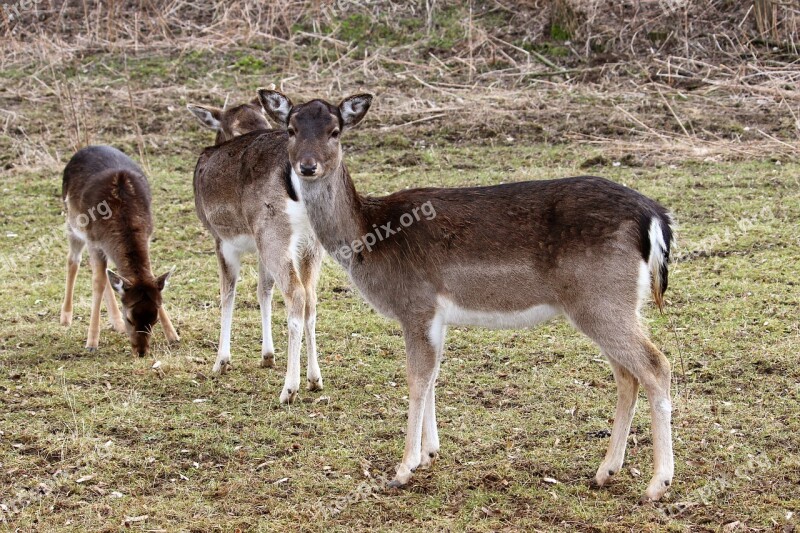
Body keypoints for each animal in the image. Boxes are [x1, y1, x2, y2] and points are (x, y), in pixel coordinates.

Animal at [61, 143, 180, 356]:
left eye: (154, 320)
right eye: (130, 318)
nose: (141, 352)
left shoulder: (147, 236)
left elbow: (146, 276)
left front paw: (173, 336)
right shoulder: (93, 240)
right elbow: (97, 282)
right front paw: (91, 343)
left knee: (106, 273)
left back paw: (115, 323)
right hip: (73, 223)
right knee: (73, 260)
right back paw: (66, 317)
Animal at [189, 96, 324, 404]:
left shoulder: (221, 239)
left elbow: (228, 294)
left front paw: (221, 361)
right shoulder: (260, 247)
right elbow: (264, 291)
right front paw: (267, 355)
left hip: (273, 231)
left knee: (296, 294)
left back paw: (289, 388)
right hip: (310, 241)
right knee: (310, 297)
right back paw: (314, 379)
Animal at [260, 89, 680, 500]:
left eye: (335, 131)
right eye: (292, 129)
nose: (308, 166)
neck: (370, 237)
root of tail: (655, 217)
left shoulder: (416, 303)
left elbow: (417, 377)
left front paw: (403, 468)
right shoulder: (437, 314)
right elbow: (433, 375)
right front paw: (429, 453)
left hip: (601, 298)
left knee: (656, 365)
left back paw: (657, 483)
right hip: (614, 303)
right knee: (627, 375)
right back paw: (605, 471)